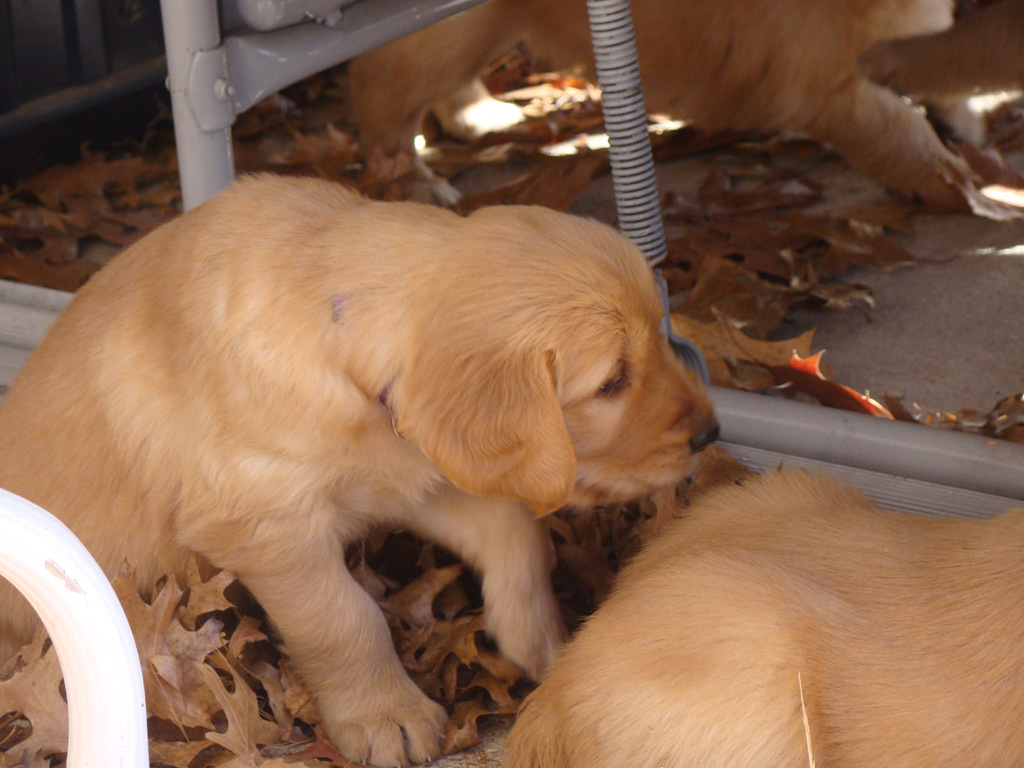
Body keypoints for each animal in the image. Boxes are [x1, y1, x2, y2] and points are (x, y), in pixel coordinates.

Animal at [0, 174, 720, 768]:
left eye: (663, 334)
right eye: (612, 381)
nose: (711, 433)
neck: (333, 317)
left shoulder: (408, 472)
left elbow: (515, 531)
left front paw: (542, 640)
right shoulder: (264, 522)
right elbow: (344, 618)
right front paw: (385, 716)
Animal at [354, 0, 983, 207]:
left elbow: (948, 72)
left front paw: (968, 130)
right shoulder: (827, 84)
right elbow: (903, 133)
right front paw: (960, 188)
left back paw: (480, 117)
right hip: (448, 33)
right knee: (386, 101)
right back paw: (413, 183)